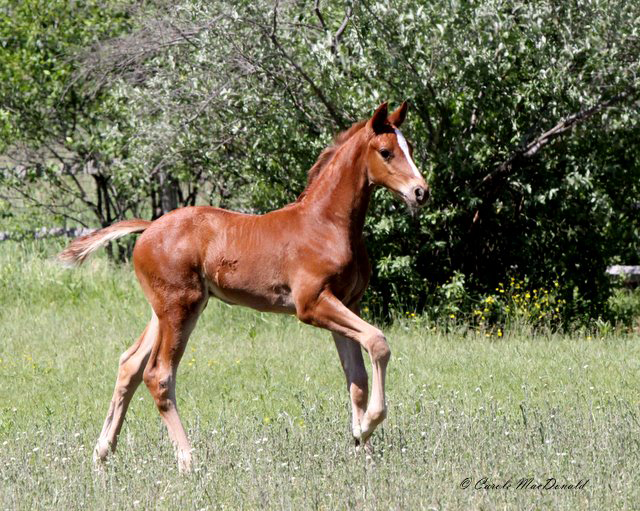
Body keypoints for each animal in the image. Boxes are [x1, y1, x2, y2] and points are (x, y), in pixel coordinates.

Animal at [61, 102, 430, 474]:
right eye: (386, 152)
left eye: (410, 148)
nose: (420, 192)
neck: (327, 224)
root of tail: (148, 227)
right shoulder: (312, 305)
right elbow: (378, 342)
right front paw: (367, 426)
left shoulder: (347, 303)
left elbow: (357, 379)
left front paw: (362, 450)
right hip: (180, 308)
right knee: (158, 374)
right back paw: (187, 460)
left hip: (166, 310)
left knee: (130, 365)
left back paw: (102, 453)